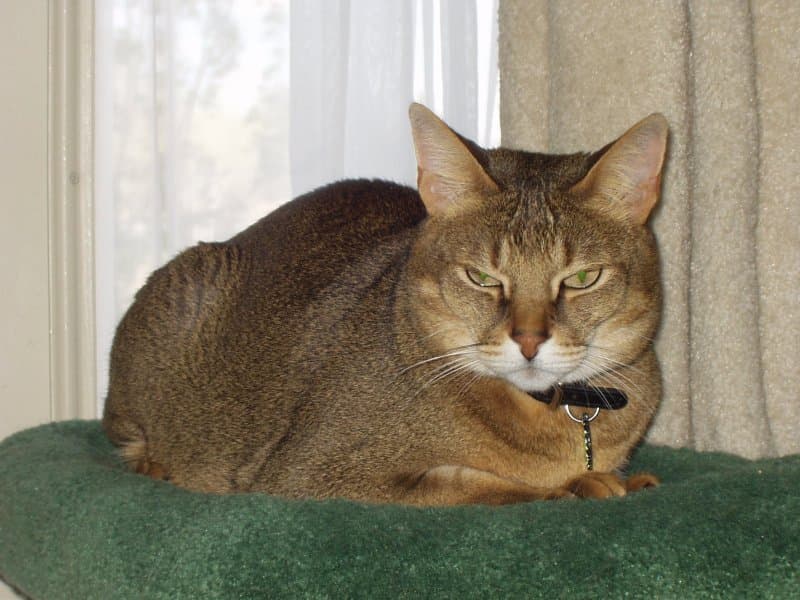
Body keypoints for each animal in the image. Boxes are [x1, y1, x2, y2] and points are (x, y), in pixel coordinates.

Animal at [103, 104, 664, 506]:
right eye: (481, 277)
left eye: (582, 279)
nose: (529, 340)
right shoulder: (312, 473)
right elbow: (469, 484)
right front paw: (577, 486)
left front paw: (622, 480)